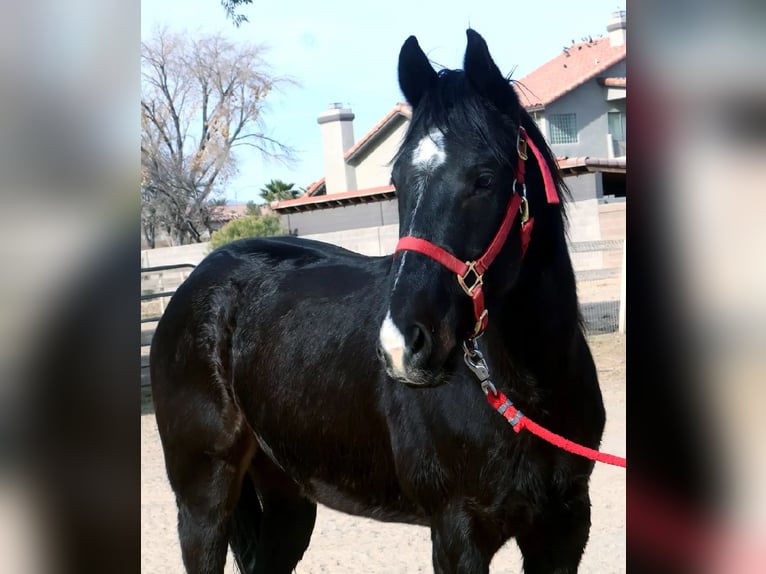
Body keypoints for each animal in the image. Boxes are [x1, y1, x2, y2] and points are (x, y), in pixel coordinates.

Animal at [150, 30, 608, 574]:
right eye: (398, 182)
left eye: (484, 178)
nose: (402, 347)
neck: (528, 392)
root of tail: (202, 279)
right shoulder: (458, 533)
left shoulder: (564, 528)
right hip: (202, 500)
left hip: (286, 493)